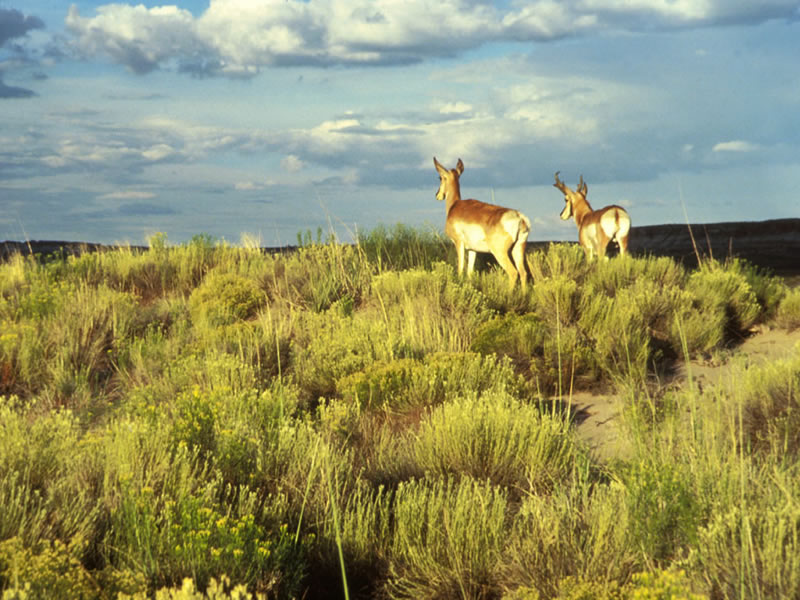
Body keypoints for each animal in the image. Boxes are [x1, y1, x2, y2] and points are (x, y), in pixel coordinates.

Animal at [434, 157, 531, 288]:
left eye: (441, 177)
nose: (437, 195)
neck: (455, 205)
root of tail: (519, 216)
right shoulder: (472, 250)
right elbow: (469, 272)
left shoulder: (459, 244)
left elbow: (460, 269)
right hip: (518, 249)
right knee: (523, 273)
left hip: (500, 253)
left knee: (513, 273)